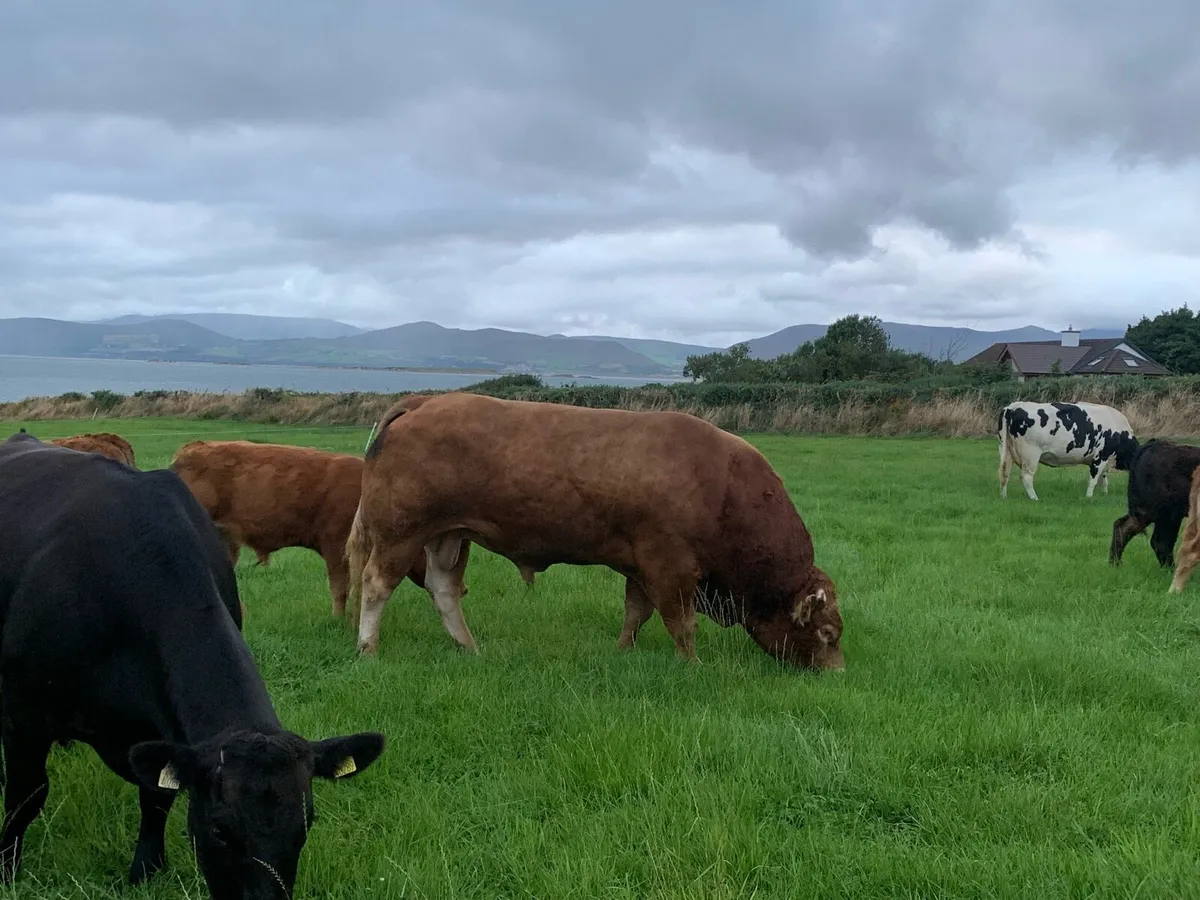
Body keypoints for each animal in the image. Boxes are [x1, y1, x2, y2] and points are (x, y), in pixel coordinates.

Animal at [0, 431, 384, 897]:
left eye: (305, 826)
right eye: (221, 830)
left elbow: (156, 796)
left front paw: (146, 868)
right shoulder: (24, 716)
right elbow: (25, 797)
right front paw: (6, 869)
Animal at [345, 392, 845, 671]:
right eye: (827, 634)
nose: (836, 672)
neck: (723, 487)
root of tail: (425, 401)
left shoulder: (641, 566)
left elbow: (635, 613)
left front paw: (623, 651)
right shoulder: (671, 567)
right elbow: (681, 624)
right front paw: (694, 665)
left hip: (449, 535)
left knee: (444, 589)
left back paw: (470, 648)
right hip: (401, 532)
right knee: (376, 585)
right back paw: (368, 649)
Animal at [998, 401, 1139, 500]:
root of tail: (1013, 406)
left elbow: (1103, 479)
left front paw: (1104, 494)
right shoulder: (1101, 456)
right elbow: (1093, 480)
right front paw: (1089, 497)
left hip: (1006, 451)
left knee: (1005, 473)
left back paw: (1004, 497)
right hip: (1030, 454)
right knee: (1026, 477)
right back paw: (1034, 498)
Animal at [1110, 438, 1200, 569]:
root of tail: (1154, 444)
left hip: (1146, 513)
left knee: (1122, 527)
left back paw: (1115, 564)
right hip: (1168, 516)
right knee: (1161, 542)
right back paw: (1171, 569)